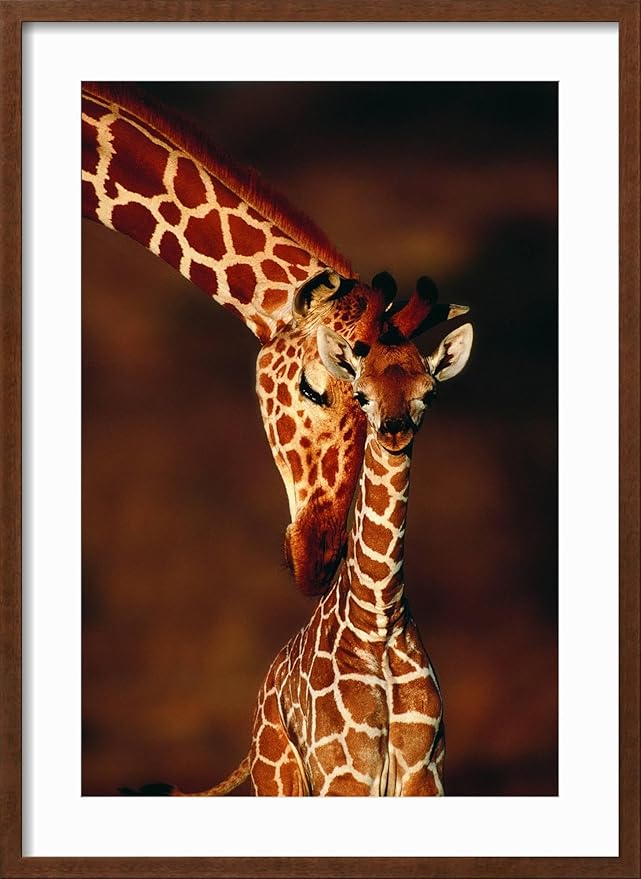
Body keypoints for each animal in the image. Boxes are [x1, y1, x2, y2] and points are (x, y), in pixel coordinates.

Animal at [167, 290, 473, 796]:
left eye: (428, 393)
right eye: (361, 393)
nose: (394, 429)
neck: (379, 619)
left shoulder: (424, 772)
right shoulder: (344, 774)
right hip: (279, 777)